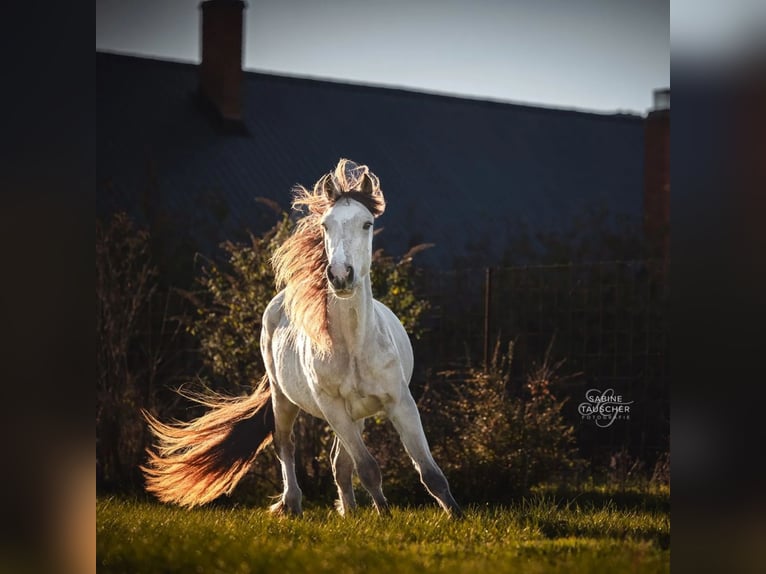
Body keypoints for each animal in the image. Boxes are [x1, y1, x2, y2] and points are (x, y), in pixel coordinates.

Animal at [141, 160, 460, 520]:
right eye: (325, 225)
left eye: (367, 224)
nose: (340, 275)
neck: (353, 346)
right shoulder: (333, 408)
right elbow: (368, 468)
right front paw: (384, 517)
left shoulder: (400, 402)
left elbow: (428, 470)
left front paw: (455, 516)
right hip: (286, 399)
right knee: (287, 445)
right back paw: (293, 504)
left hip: (358, 414)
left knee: (338, 462)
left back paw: (350, 513)